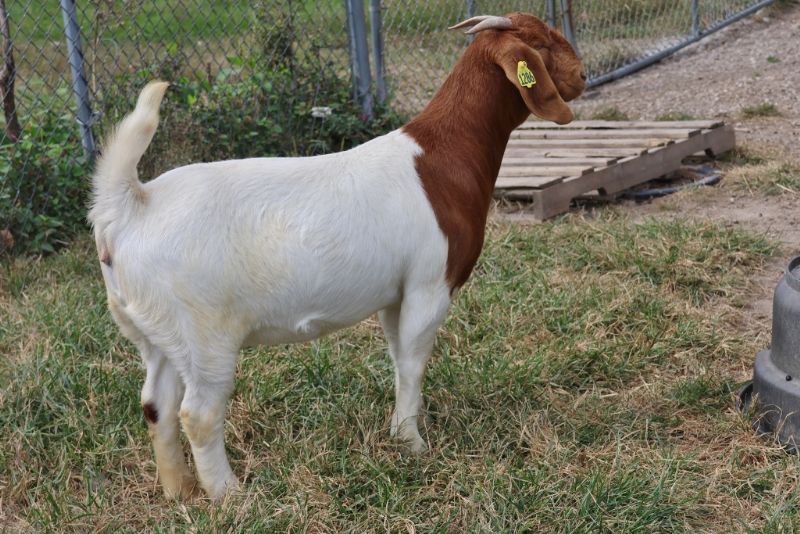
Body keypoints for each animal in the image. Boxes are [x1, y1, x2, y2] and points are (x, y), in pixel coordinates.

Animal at [90, 12, 584, 500]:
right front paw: (413, 444)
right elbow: (413, 359)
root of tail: (132, 204)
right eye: (542, 41)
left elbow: (399, 356)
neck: (441, 157)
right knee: (198, 412)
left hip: (157, 333)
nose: (581, 75)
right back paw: (230, 497)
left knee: (156, 404)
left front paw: (408, 426)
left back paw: (181, 492)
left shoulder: (395, 293)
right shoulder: (430, 283)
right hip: (203, 334)